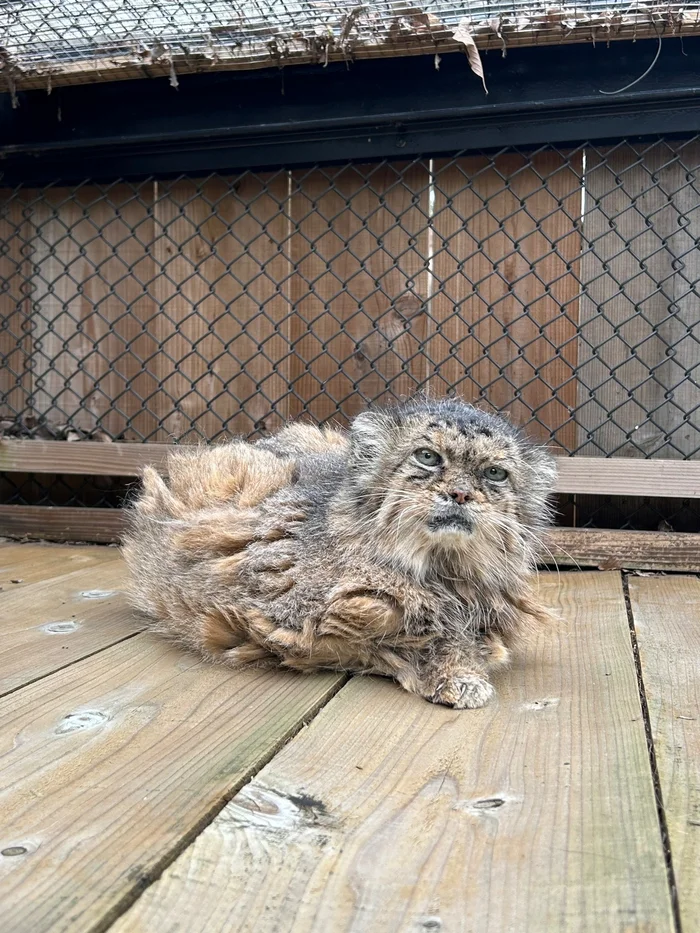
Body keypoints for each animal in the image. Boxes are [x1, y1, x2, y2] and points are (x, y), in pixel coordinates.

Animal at [121, 396, 556, 708]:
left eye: (494, 473)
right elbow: (418, 630)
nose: (462, 493)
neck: (441, 572)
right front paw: (461, 671)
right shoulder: (289, 620)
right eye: (428, 457)